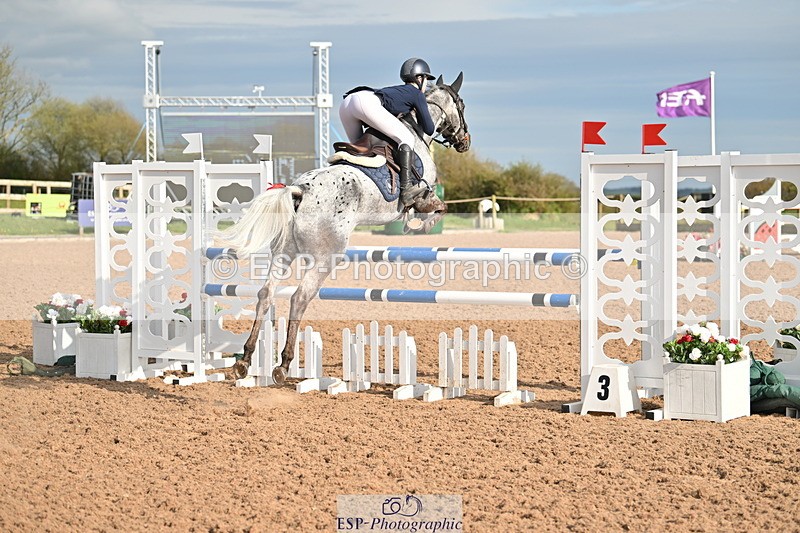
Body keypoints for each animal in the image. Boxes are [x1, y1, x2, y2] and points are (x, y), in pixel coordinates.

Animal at [219, 73, 471, 384]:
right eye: (461, 105)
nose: (465, 141)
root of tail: (298, 190)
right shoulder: (427, 189)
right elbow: (436, 207)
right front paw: (420, 223)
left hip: (283, 252)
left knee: (266, 293)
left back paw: (244, 361)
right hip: (327, 257)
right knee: (300, 297)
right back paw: (283, 365)